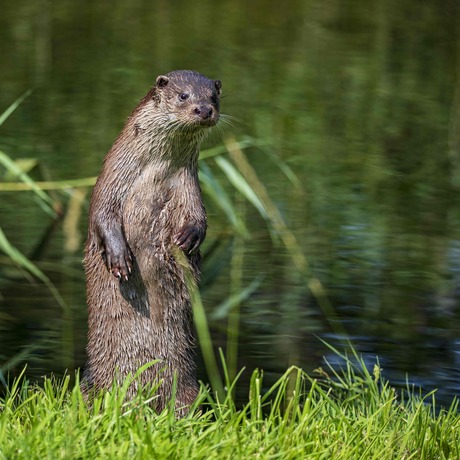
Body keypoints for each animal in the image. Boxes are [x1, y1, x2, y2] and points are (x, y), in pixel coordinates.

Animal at [83, 70, 222, 416]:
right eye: (184, 95)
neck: (157, 171)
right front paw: (120, 259)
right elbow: (102, 214)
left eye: (213, 97)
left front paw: (190, 236)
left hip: (186, 386)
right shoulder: (112, 179)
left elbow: (199, 216)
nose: (204, 110)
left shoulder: (189, 185)